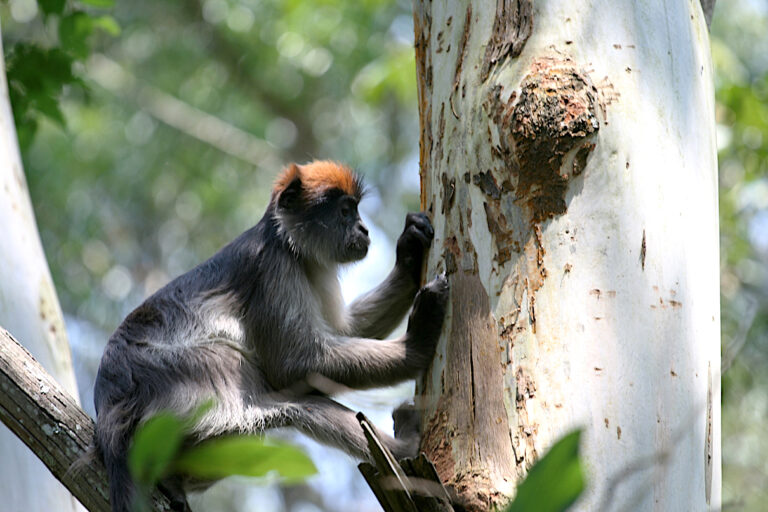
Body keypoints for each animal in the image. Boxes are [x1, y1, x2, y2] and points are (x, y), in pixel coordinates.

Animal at [92, 161, 448, 512]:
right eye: (346, 212)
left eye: (356, 212)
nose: (363, 229)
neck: (284, 240)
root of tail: (110, 405)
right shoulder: (272, 266)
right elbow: (292, 367)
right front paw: (416, 346)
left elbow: (342, 332)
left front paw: (410, 254)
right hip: (187, 389)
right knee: (295, 405)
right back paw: (407, 447)